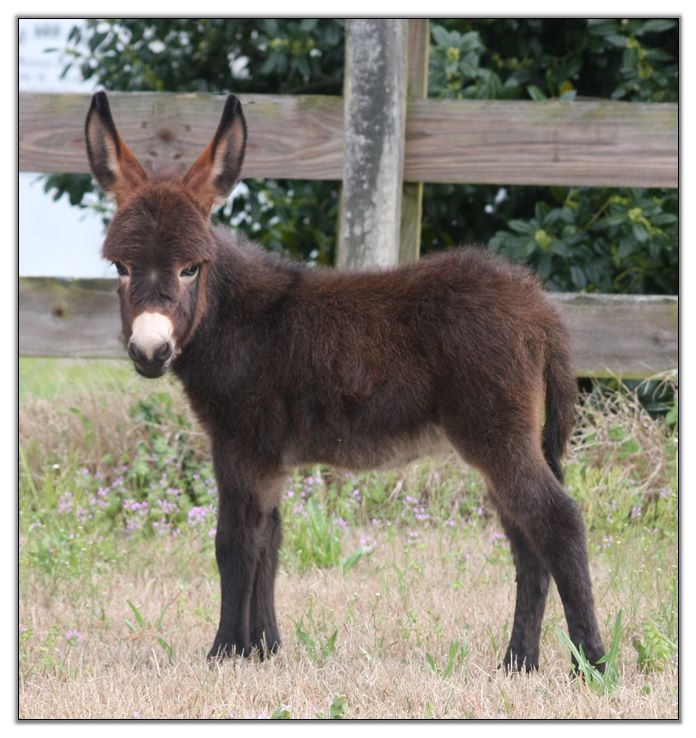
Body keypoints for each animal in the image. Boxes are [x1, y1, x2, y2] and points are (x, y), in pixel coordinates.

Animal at [84, 91, 605, 672]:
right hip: (507, 439)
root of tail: (539, 308)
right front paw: (264, 649)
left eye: (190, 268)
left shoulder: (240, 446)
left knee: (559, 521)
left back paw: (590, 666)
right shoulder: (268, 459)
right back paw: (518, 664)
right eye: (121, 267)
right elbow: (270, 543)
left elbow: (234, 546)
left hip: (496, 434)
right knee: (527, 540)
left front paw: (224, 653)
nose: (150, 352)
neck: (233, 319)